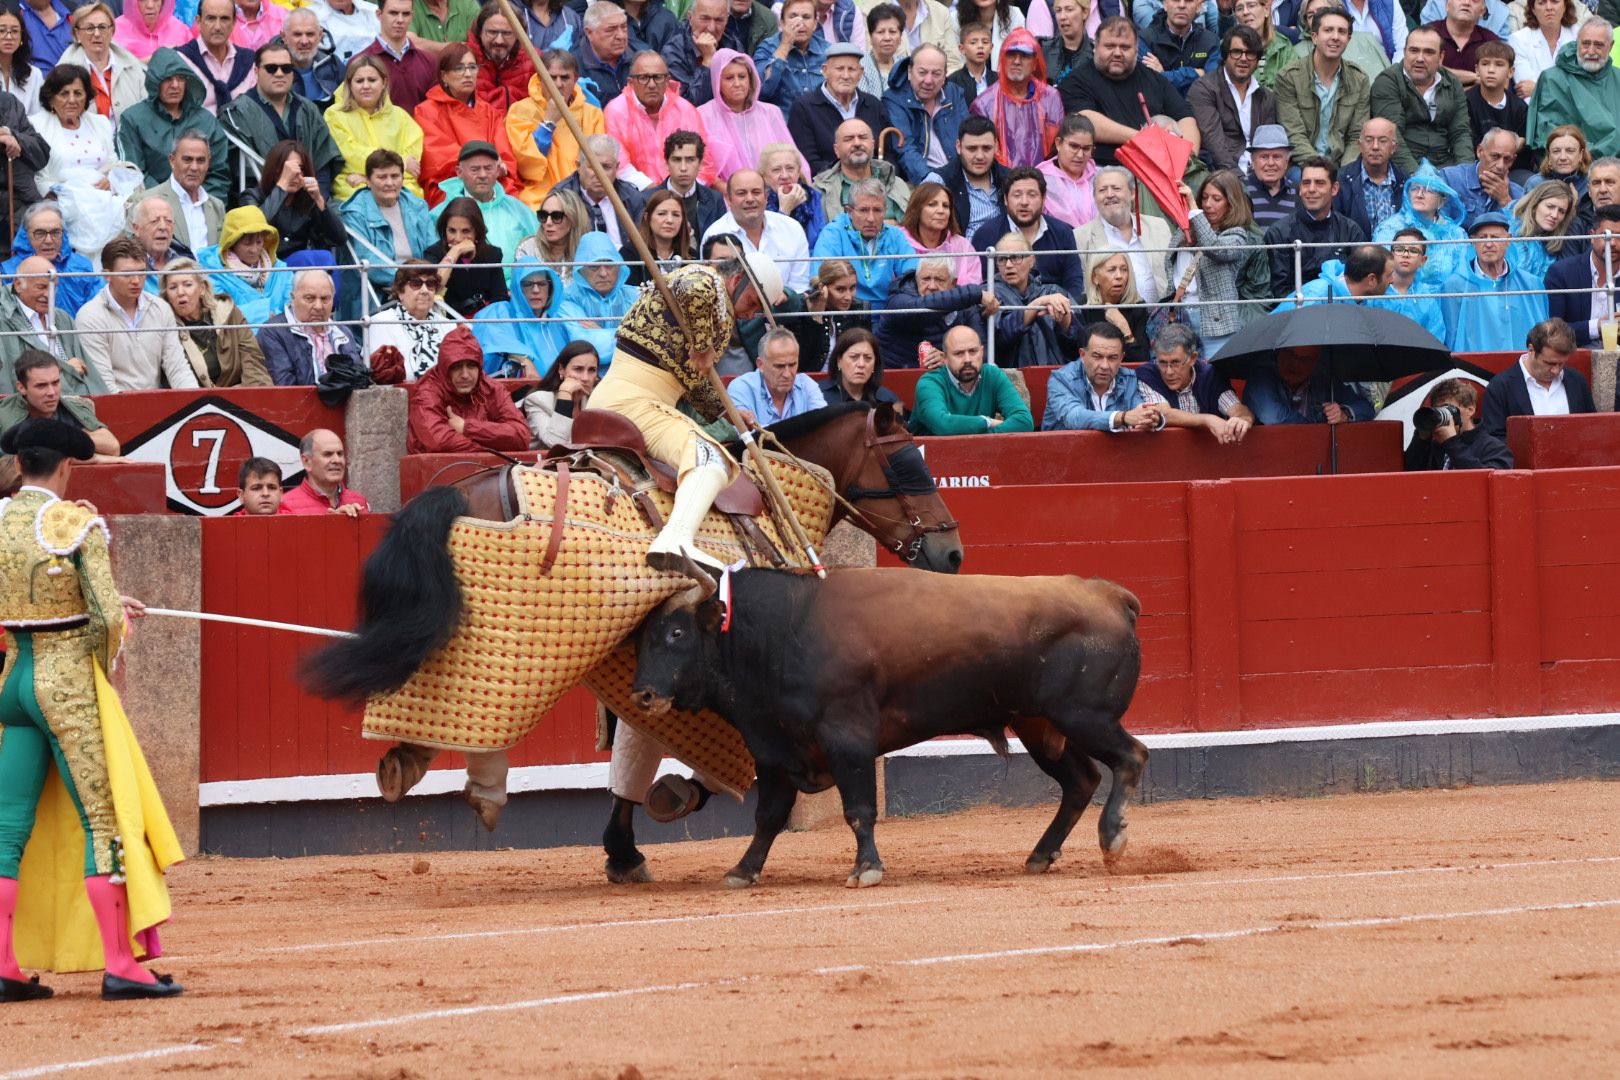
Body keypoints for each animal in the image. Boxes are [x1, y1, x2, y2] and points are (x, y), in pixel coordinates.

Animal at [625, 566, 1146, 887]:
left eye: (676, 633)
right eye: (642, 638)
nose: (643, 694)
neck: (783, 629)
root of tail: (1109, 594)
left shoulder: (847, 737)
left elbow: (859, 809)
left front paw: (867, 869)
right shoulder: (773, 748)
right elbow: (768, 816)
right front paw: (743, 870)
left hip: (1085, 716)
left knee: (1131, 756)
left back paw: (1113, 839)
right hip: (1041, 727)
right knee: (1081, 780)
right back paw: (1041, 855)